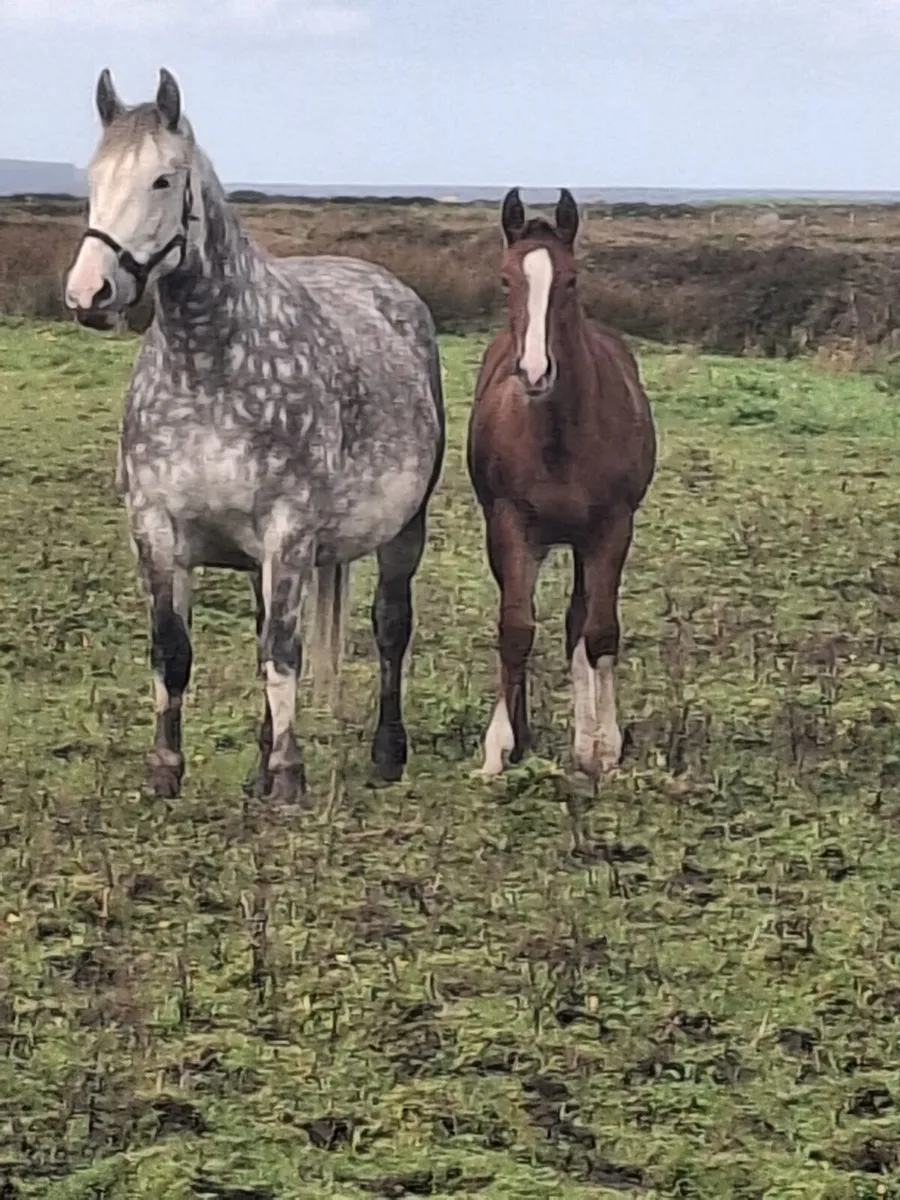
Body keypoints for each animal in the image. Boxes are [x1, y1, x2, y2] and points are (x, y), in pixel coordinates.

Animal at [64, 68, 445, 803]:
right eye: (93, 178)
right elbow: (173, 650)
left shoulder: (288, 531)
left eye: (162, 179)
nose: (89, 293)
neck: (210, 368)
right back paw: (257, 769)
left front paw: (290, 779)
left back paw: (385, 754)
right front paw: (166, 769)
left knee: (389, 627)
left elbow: (284, 654)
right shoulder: (155, 529)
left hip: (402, 530)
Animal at [467, 188, 656, 779]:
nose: (534, 372)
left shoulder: (612, 528)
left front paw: (604, 747)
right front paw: (499, 747)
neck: (558, 436)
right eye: (506, 279)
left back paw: (584, 737)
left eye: (570, 281)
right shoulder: (509, 524)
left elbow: (598, 632)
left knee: (579, 621)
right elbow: (515, 629)